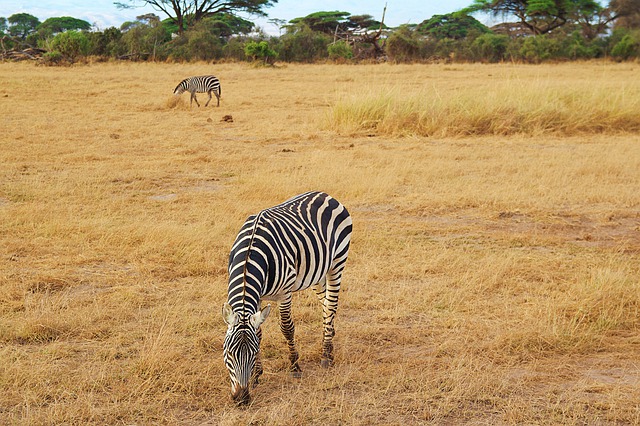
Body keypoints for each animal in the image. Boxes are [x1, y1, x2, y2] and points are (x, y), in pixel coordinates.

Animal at [222, 191, 352, 405]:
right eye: (229, 353)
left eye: (252, 353)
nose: (241, 399)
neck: (250, 254)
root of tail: (325, 194)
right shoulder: (257, 298)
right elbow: (259, 333)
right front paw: (257, 375)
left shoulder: (285, 293)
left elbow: (287, 328)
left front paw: (295, 366)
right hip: (317, 272)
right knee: (325, 305)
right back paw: (330, 337)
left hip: (337, 262)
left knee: (331, 304)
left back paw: (326, 354)